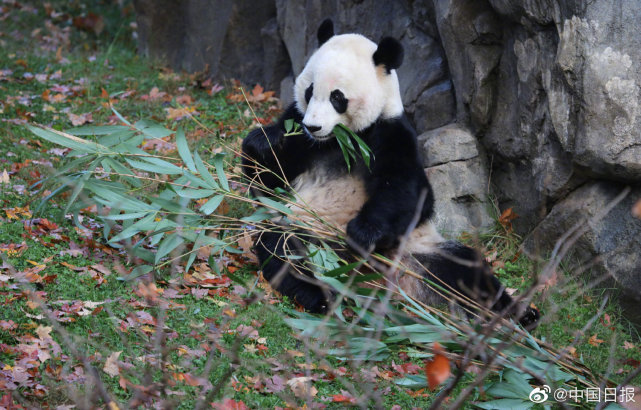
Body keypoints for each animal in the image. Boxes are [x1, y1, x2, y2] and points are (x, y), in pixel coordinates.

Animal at [242, 19, 536, 328]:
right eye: (309, 91)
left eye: (337, 97)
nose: (314, 126)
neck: (339, 140)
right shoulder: (299, 131)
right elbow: (266, 182)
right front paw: (264, 142)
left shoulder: (391, 133)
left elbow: (410, 194)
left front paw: (363, 232)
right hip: (307, 232)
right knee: (283, 250)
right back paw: (319, 296)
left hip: (419, 249)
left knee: (464, 269)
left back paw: (519, 313)